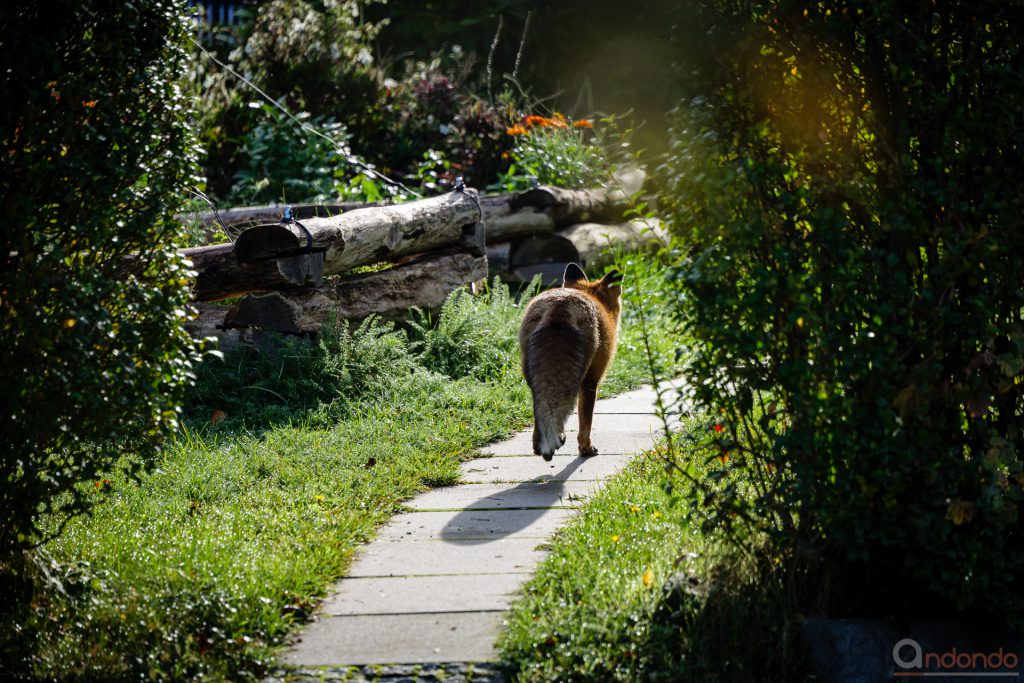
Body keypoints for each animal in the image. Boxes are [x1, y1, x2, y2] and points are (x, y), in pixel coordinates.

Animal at [516, 264, 618, 462]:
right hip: (583, 376)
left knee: (539, 411)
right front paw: (585, 449)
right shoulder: (592, 381)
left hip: (530, 376)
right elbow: (585, 420)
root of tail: (560, 304)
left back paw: (541, 447)